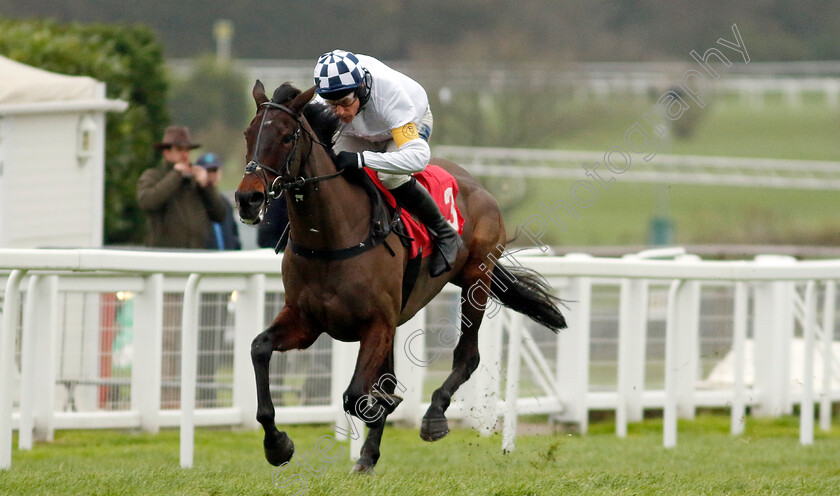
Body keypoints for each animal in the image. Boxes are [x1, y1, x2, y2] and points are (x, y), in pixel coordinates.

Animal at [233, 80, 568, 472]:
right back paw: (368, 455)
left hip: (476, 279)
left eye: (287, 137)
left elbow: (356, 394)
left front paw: (381, 411)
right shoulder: (307, 321)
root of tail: (477, 184)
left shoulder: (377, 324)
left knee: (467, 355)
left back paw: (434, 416)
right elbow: (260, 348)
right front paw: (278, 445)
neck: (331, 237)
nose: (248, 199)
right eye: (248, 134)